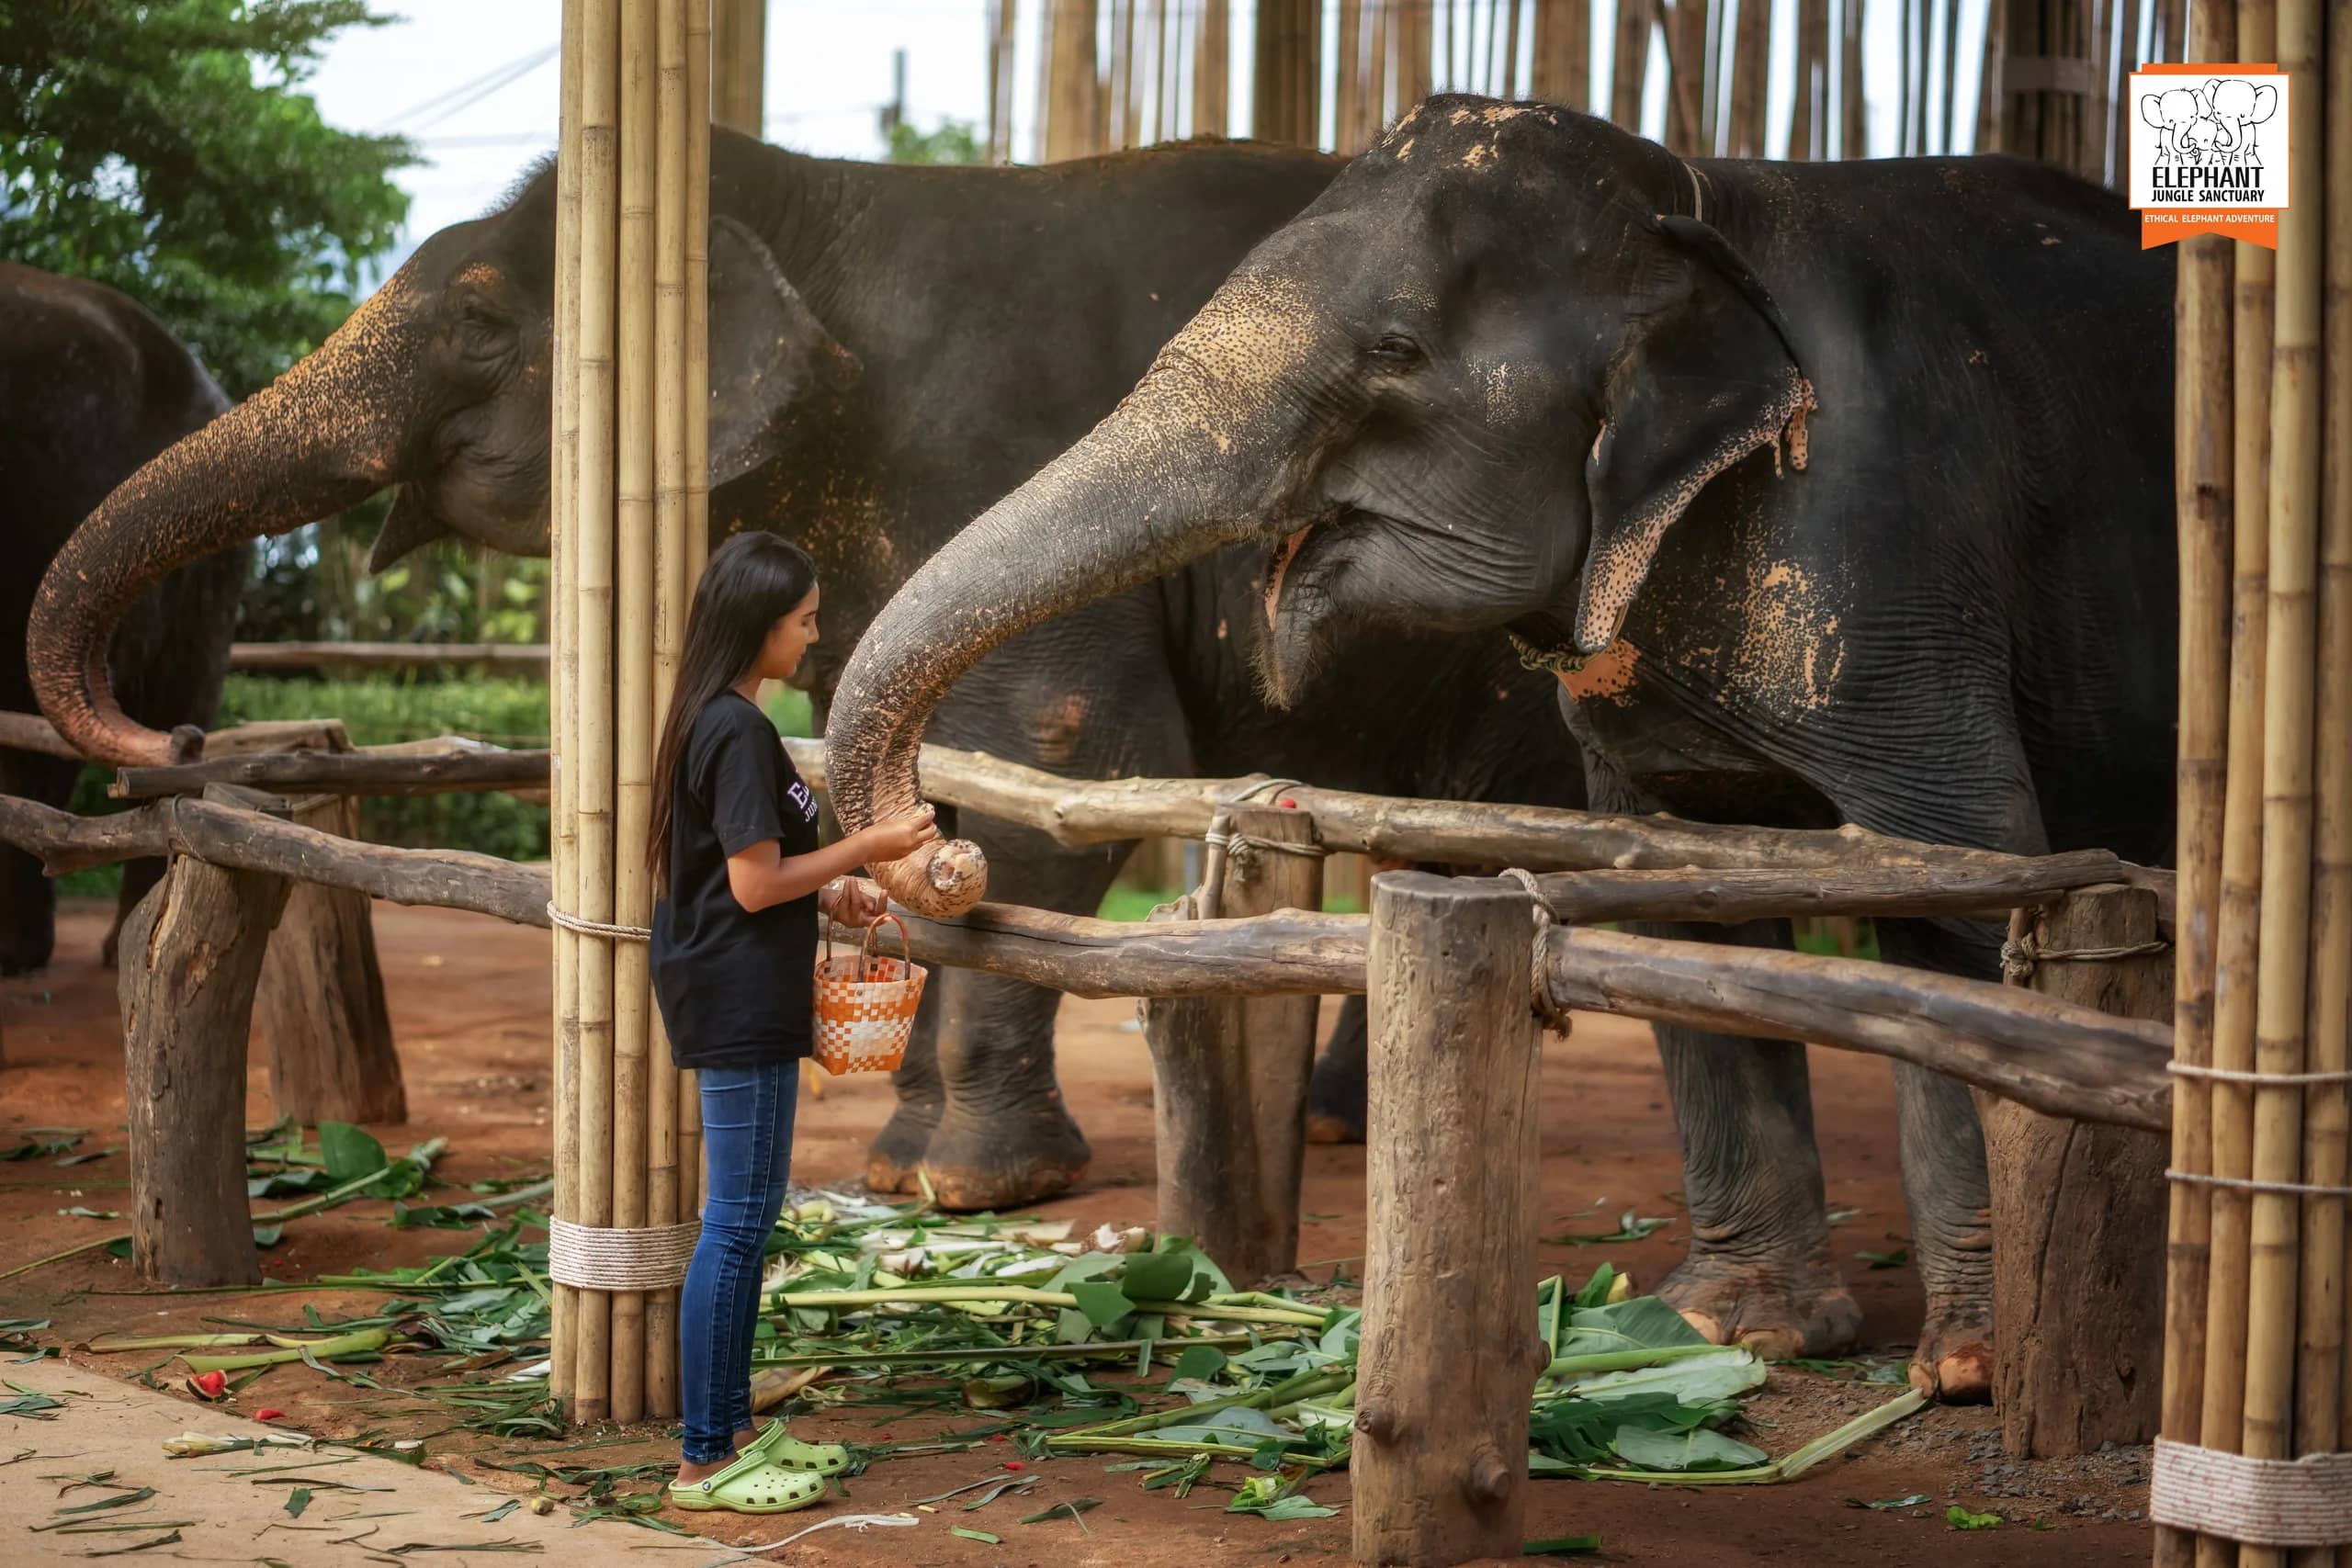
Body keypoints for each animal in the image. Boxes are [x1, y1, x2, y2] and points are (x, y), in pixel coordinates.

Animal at [26, 128, 1588, 1207]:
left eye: (475, 324)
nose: (170, 749)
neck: (813, 202)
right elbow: (891, 766)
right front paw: (902, 1154)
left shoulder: (995, 448)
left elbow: (1056, 758)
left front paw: (961, 1184)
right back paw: (1338, 1122)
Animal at [823, 97, 2177, 1397]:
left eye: (1395, 351)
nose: (935, 851)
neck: (1698, 197)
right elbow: (1688, 902)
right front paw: (1723, 1330)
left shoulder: (1891, 549)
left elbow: (1965, 888)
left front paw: (1966, 1370)